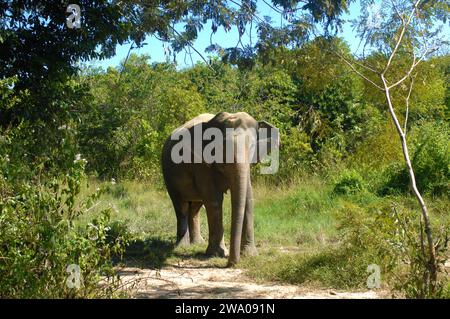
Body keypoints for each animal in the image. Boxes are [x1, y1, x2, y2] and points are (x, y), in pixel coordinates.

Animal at [162, 111, 280, 266]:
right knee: (181, 206)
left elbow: (248, 199)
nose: (231, 263)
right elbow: (214, 200)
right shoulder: (201, 164)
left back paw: (198, 243)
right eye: (219, 149)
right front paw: (217, 254)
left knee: (195, 206)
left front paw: (250, 255)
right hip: (168, 176)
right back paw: (182, 246)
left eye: (252, 147)